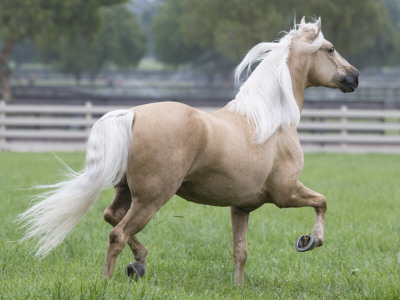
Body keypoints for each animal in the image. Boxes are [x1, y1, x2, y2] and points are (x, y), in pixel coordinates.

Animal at [18, 17, 360, 284]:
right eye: (330, 48)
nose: (355, 77)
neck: (269, 120)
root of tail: (132, 114)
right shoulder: (286, 193)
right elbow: (322, 202)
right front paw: (309, 240)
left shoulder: (242, 207)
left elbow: (240, 252)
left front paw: (238, 288)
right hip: (152, 198)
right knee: (117, 234)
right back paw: (109, 279)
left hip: (128, 191)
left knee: (111, 217)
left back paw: (138, 263)